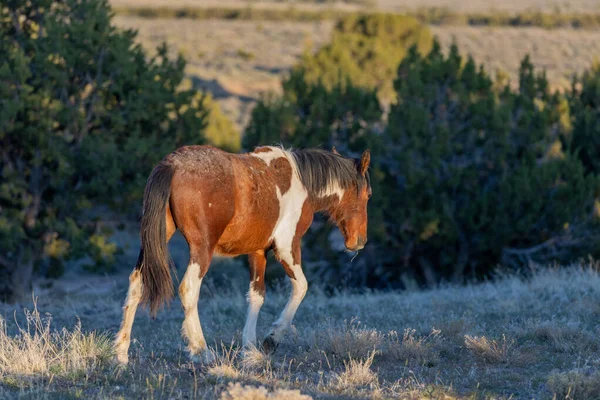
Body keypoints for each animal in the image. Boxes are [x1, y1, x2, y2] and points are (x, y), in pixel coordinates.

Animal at [113, 145, 370, 366]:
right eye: (367, 194)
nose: (359, 242)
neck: (301, 183)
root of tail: (172, 165)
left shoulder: (257, 251)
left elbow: (256, 296)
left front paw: (249, 347)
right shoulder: (287, 247)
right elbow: (301, 287)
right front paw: (271, 339)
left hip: (155, 240)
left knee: (137, 283)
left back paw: (121, 353)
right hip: (202, 249)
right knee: (188, 289)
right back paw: (201, 351)